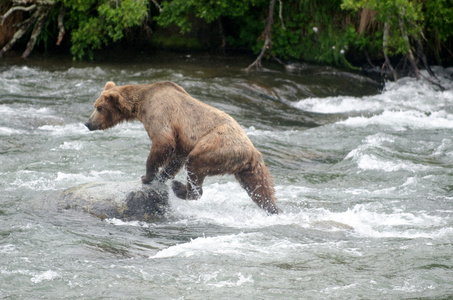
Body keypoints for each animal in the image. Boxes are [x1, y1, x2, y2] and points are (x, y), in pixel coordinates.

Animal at [85, 81, 280, 214]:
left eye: (99, 107)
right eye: (95, 106)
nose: (88, 123)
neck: (141, 103)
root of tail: (251, 150)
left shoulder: (160, 114)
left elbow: (163, 143)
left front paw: (147, 176)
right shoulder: (181, 140)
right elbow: (176, 157)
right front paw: (161, 176)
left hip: (216, 146)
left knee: (195, 164)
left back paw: (180, 188)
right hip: (249, 167)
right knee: (260, 188)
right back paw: (273, 208)